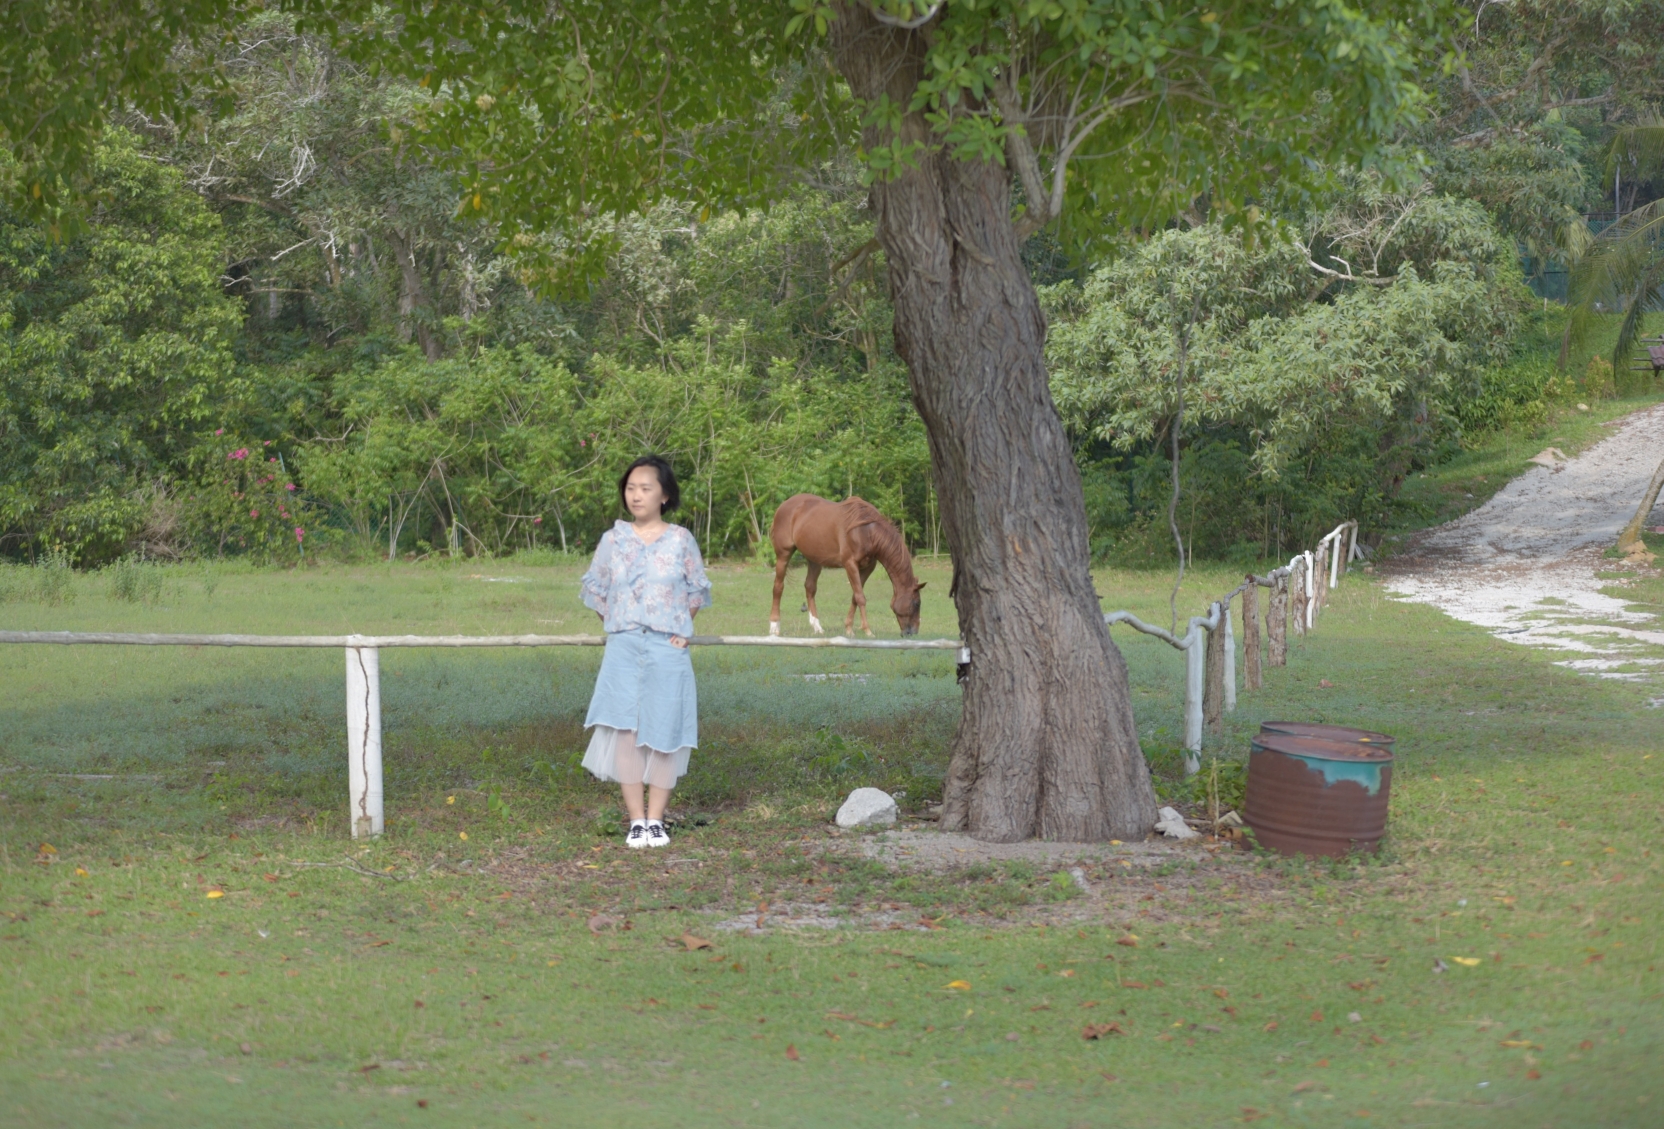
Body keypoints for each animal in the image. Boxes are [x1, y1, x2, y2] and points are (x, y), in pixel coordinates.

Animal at [765, 492, 925, 642]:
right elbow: (860, 597)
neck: (866, 530)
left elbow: (855, 596)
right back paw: (774, 626)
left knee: (810, 588)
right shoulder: (850, 564)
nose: (913, 632)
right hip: (783, 555)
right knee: (778, 587)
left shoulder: (868, 567)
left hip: (814, 560)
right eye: (917, 603)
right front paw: (867, 630)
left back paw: (817, 627)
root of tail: (783, 506)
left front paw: (849, 628)